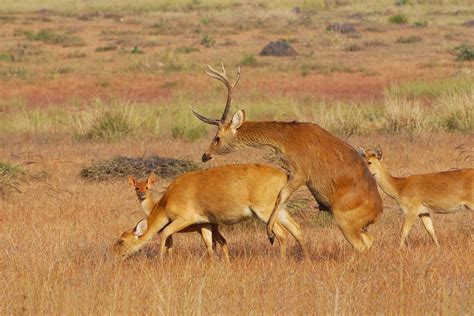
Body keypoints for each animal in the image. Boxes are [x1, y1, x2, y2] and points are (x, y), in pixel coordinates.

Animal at [191, 63, 384, 252]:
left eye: (217, 137)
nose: (205, 155)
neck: (288, 139)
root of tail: (377, 212)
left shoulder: (301, 173)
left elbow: (281, 195)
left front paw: (270, 234)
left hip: (345, 220)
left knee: (361, 246)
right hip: (358, 226)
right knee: (369, 241)